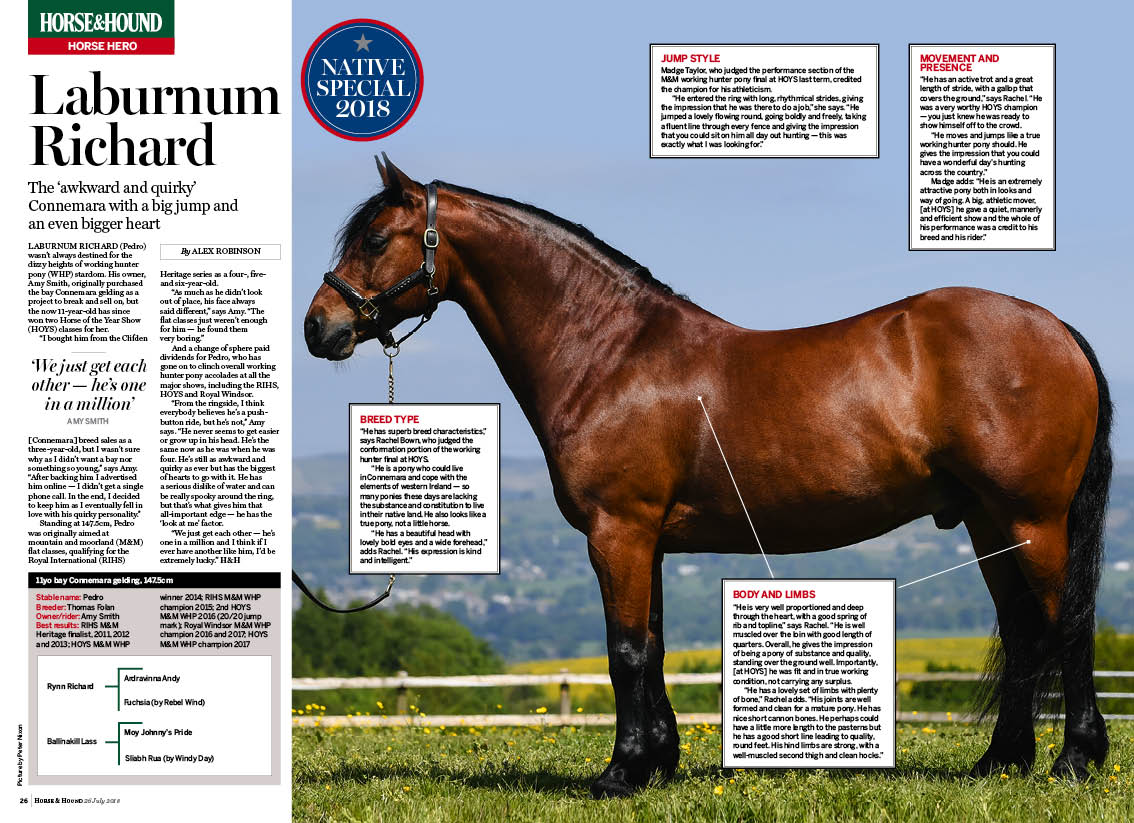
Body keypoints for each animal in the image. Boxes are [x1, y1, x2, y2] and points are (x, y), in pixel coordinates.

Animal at [304, 155, 1112, 797]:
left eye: (374, 239)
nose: (319, 328)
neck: (609, 355)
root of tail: (1057, 329)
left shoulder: (618, 531)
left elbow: (625, 651)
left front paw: (619, 773)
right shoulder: (650, 540)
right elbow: (653, 647)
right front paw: (659, 764)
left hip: (1034, 519)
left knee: (1065, 626)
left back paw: (1073, 759)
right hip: (987, 521)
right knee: (1024, 630)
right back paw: (1001, 762)